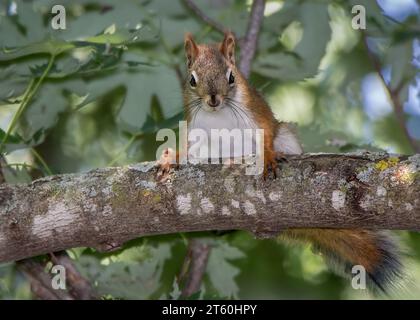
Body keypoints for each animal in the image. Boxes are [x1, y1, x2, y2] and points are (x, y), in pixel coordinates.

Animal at [158, 32, 404, 292]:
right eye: (192, 80)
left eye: (231, 76)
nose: (213, 99)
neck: (218, 114)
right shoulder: (196, 129)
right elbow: (189, 150)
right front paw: (172, 157)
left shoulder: (255, 111)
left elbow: (266, 132)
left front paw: (267, 156)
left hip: (287, 136)